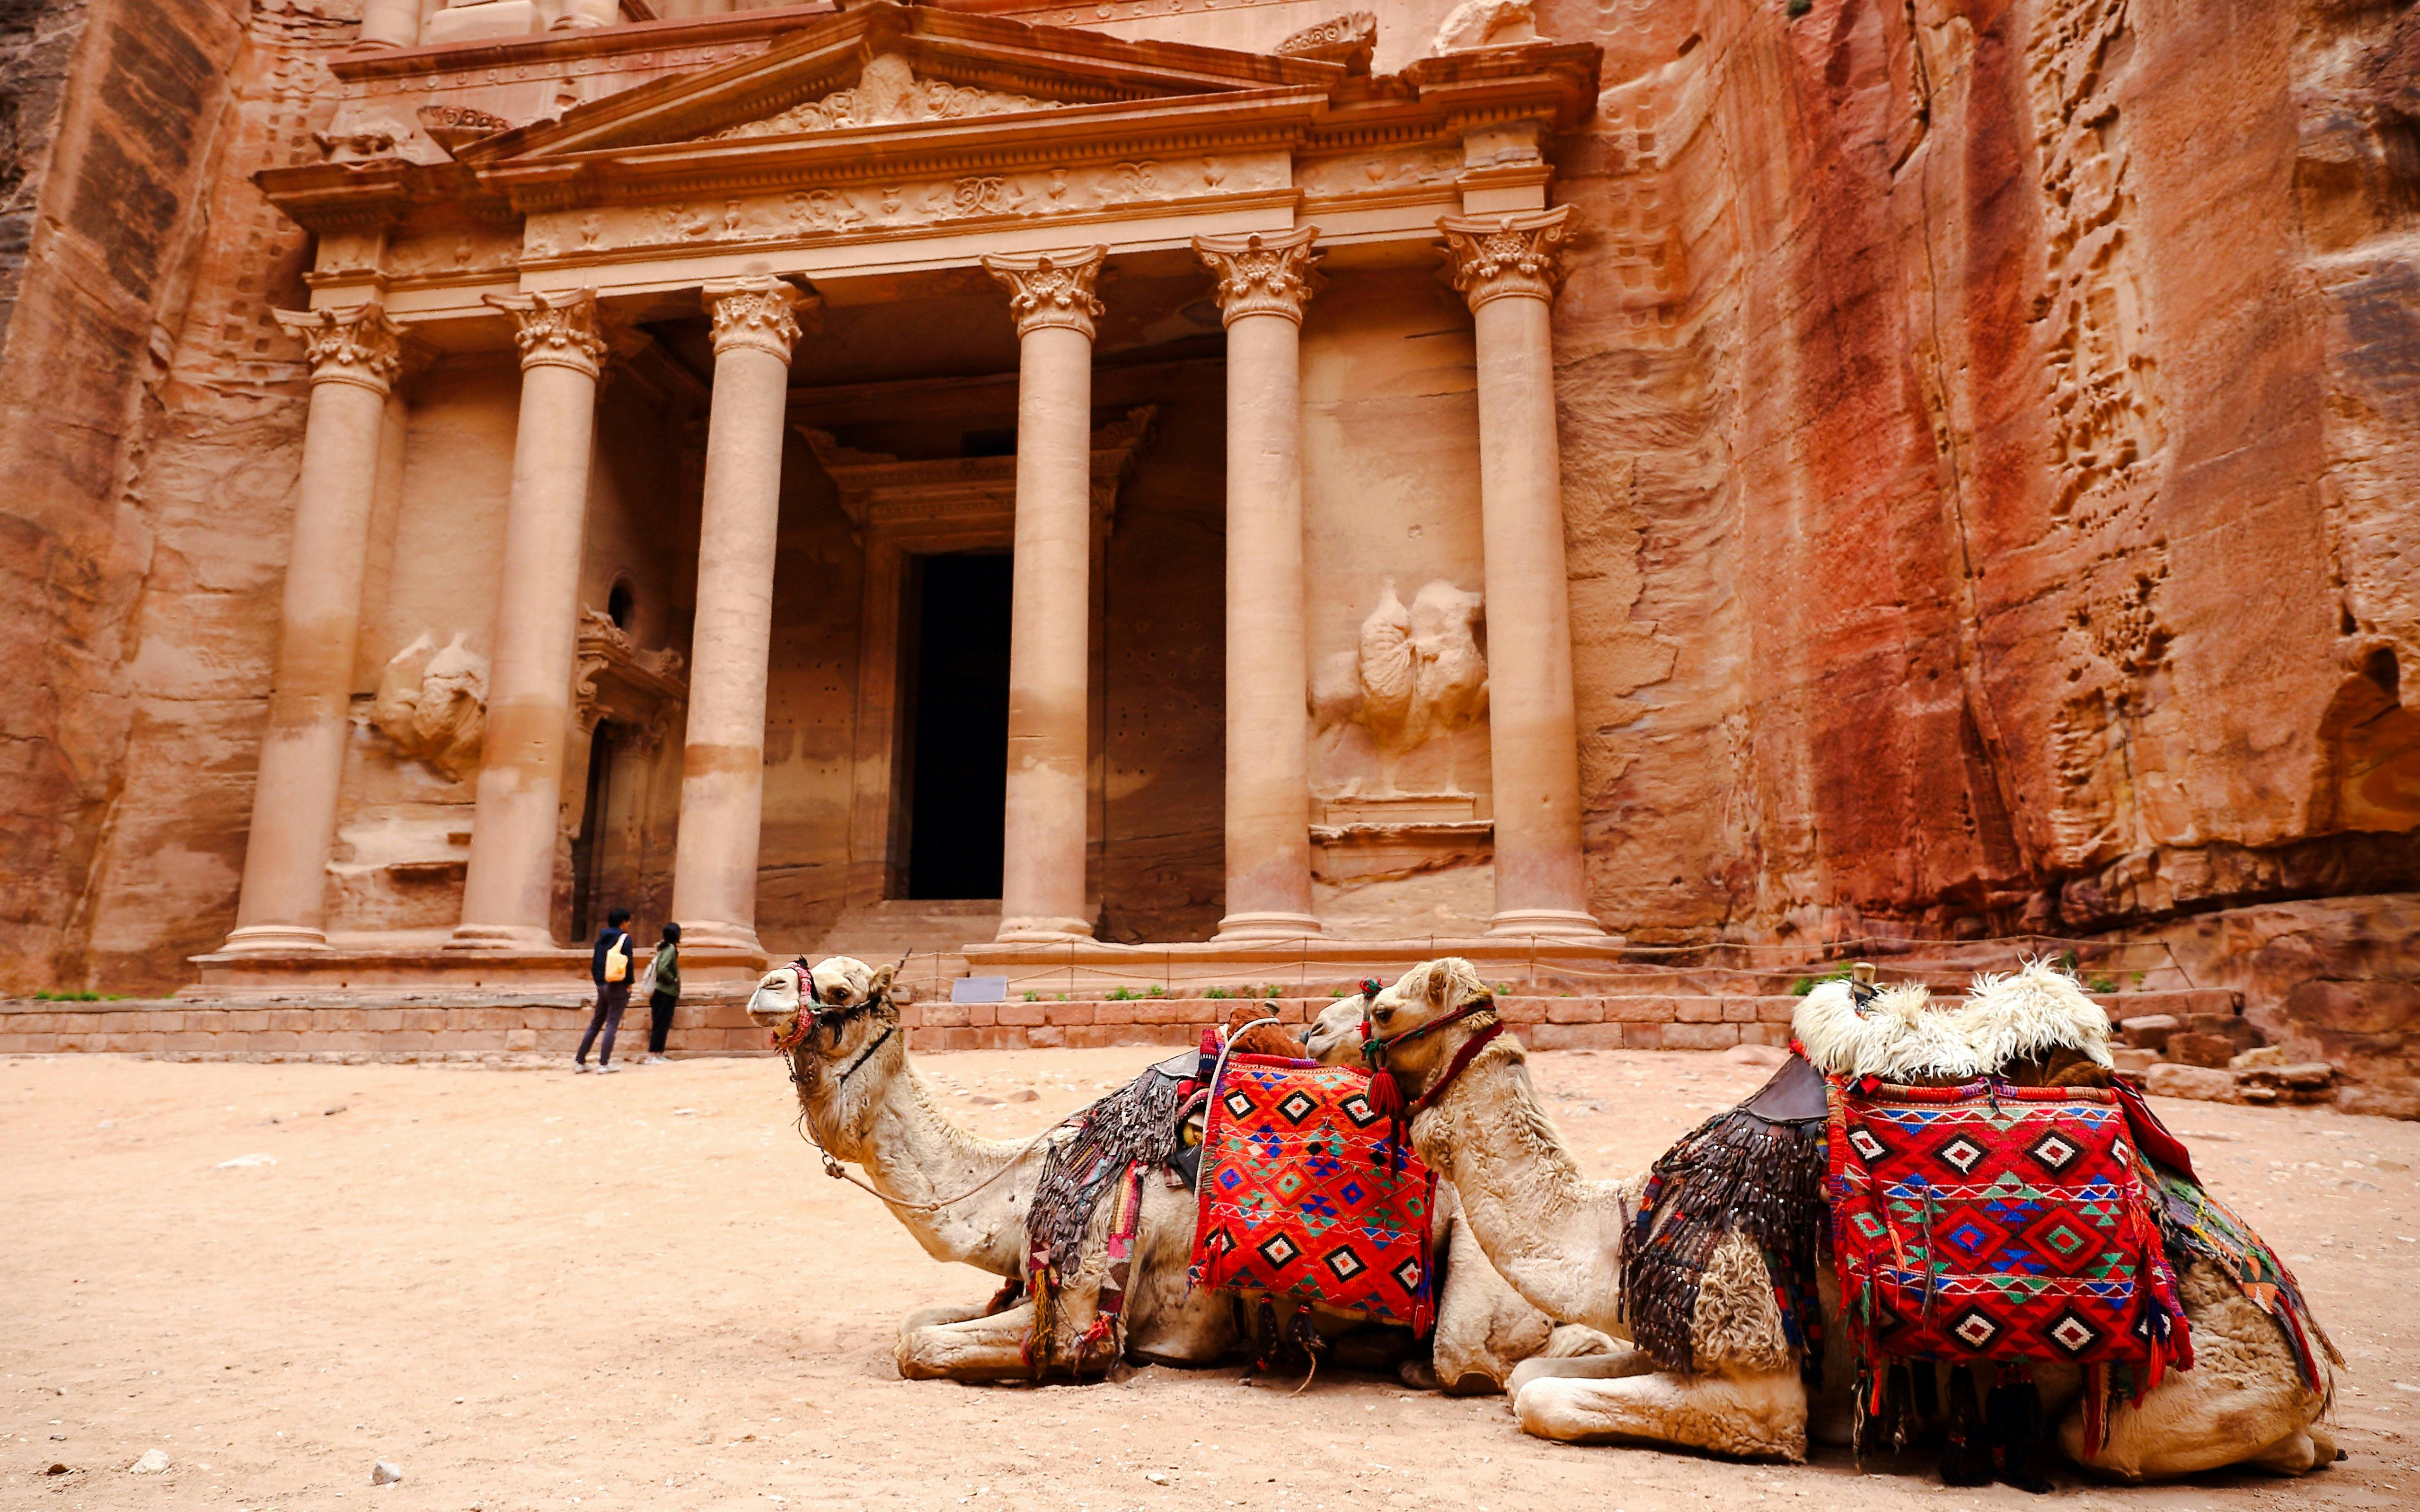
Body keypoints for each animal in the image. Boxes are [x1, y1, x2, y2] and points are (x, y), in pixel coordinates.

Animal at [745, 956, 1573, 1388]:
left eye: (841, 990)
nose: (765, 986)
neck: (1016, 1187)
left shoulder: (1081, 1313)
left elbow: (917, 1348)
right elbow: (917, 1322)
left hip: (1482, 1269)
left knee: (1467, 1357)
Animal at [1346, 957, 2341, 1481]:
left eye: (1384, 1007)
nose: (1317, 1034)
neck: (1621, 1227)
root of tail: (2302, 1340)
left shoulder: (1750, 1366)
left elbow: (1541, 1398)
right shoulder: (1668, 1329)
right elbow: (1532, 1374)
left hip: (2185, 1385)